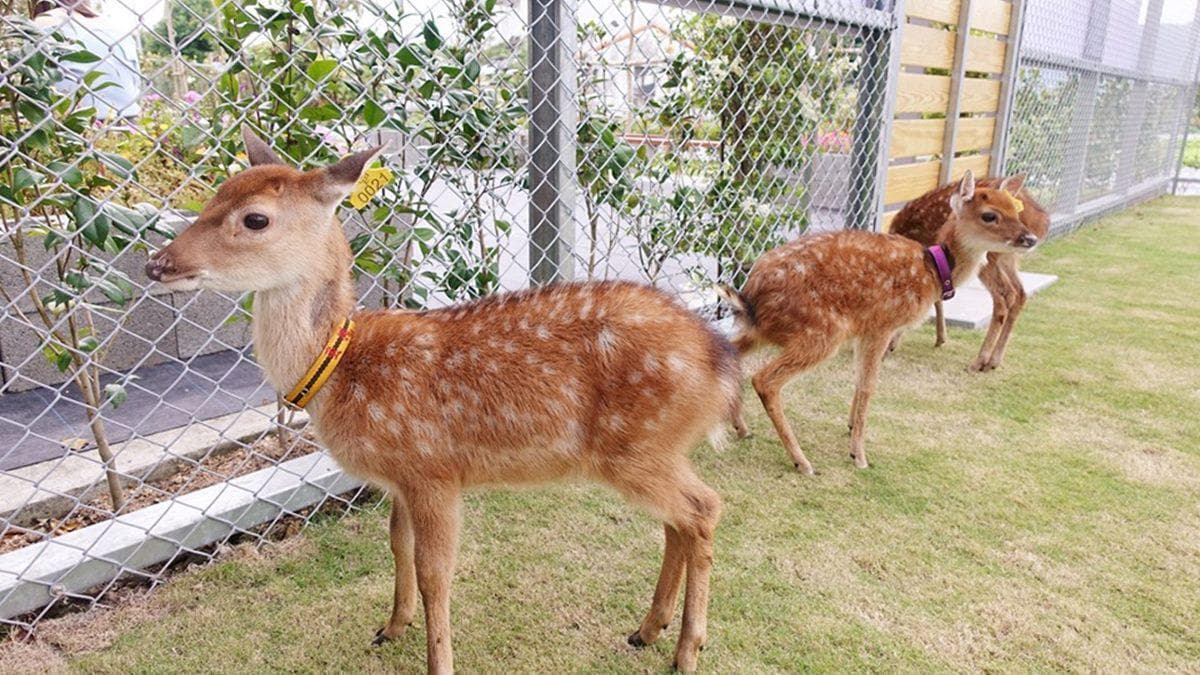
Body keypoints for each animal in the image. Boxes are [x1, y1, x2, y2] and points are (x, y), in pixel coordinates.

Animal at [144, 129, 740, 674]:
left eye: (255, 219)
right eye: (215, 194)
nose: (157, 264)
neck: (341, 370)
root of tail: (720, 362)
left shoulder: (433, 468)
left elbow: (436, 573)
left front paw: (437, 659)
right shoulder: (400, 479)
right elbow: (396, 545)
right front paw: (390, 625)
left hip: (637, 445)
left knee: (704, 507)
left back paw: (688, 648)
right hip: (653, 450)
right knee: (679, 520)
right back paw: (648, 629)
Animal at [889, 174, 1050, 370]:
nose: (1030, 238)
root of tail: (1040, 221)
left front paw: (894, 342)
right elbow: (937, 297)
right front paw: (940, 338)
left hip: (990, 257)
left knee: (1004, 296)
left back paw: (980, 361)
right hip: (1007, 258)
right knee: (1019, 293)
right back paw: (994, 361)